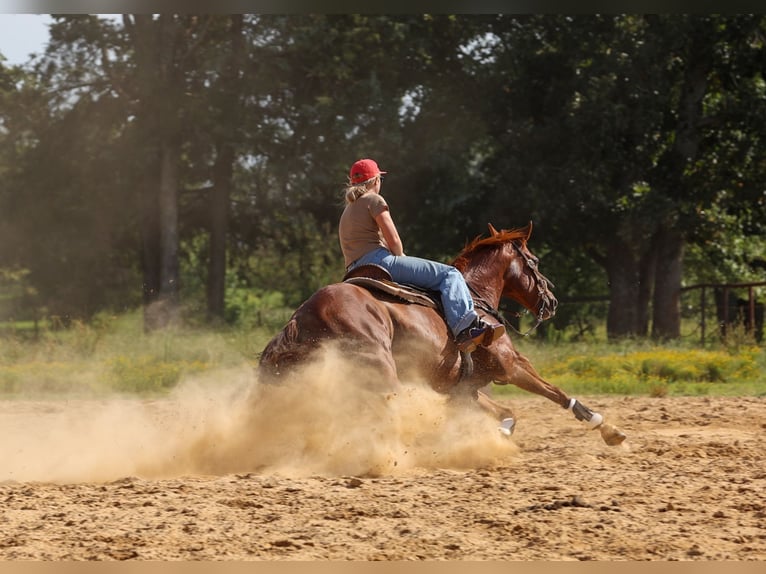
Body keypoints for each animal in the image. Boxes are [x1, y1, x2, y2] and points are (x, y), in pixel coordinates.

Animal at [258, 222, 626, 446]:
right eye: (534, 261)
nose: (551, 301)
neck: (476, 298)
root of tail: (305, 313)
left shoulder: (464, 389)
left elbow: (508, 413)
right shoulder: (510, 366)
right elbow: (556, 392)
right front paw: (605, 426)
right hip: (378, 369)